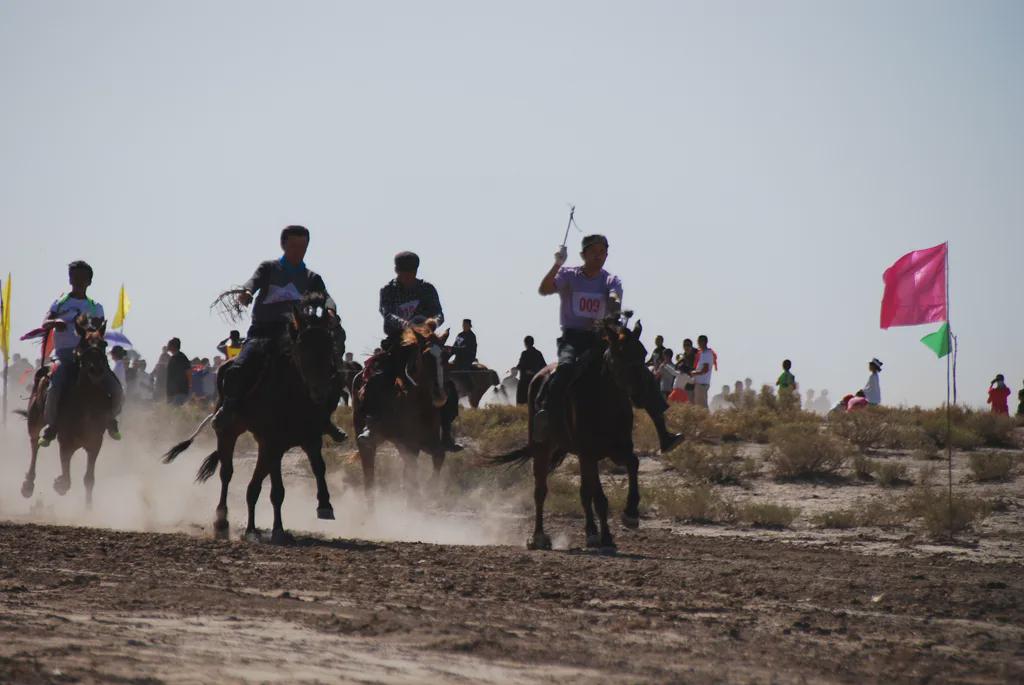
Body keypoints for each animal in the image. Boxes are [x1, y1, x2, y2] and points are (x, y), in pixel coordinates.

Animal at [18, 315, 116, 507]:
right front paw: (59, 483)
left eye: (104, 343)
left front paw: (88, 508)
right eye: (84, 344)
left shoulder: (95, 441)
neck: (87, 401)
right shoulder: (65, 440)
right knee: (34, 443)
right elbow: (66, 479)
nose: (96, 370)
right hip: (35, 418)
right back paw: (28, 484)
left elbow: (89, 479)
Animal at [161, 294, 342, 544]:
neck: (293, 395)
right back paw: (222, 522)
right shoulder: (273, 442)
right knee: (226, 473)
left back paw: (251, 528)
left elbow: (319, 468)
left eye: (329, 346)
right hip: (228, 432)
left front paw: (325, 506)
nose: (321, 391)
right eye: (302, 348)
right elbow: (276, 490)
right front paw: (277, 530)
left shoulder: (309, 438)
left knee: (253, 485)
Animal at [352, 321, 448, 497]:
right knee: (369, 477)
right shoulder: (408, 444)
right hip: (367, 440)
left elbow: (439, 455)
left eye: (445, 357)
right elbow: (412, 476)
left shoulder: (428, 441)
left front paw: (430, 487)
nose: (439, 395)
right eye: (426, 356)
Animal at [489, 317, 647, 552]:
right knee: (541, 490)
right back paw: (539, 537)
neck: (604, 403)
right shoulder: (588, 453)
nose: (641, 392)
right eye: (619, 354)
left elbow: (632, 464)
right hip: (542, 448)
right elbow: (594, 495)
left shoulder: (619, 448)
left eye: (643, 353)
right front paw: (597, 535)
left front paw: (629, 516)